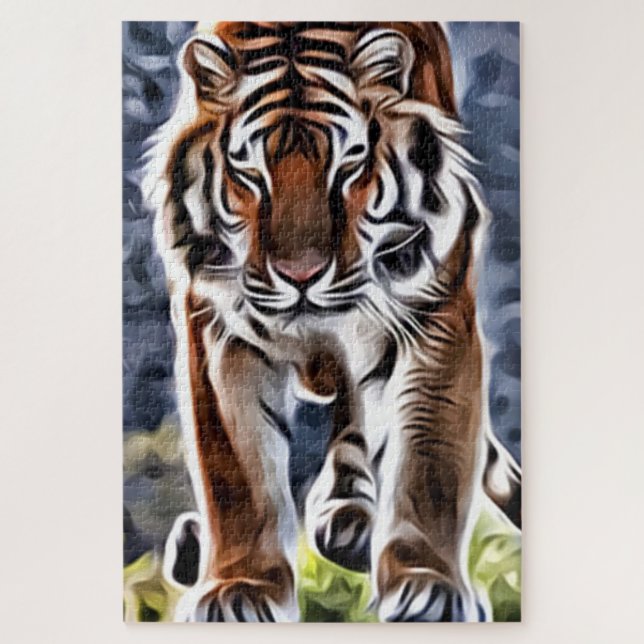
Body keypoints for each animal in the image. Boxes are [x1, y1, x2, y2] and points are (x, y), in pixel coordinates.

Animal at [144, 21, 521, 622]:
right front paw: (240, 587)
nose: (301, 275)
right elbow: (236, 472)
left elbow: (430, 461)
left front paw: (429, 584)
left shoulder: (434, 309)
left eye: (348, 167)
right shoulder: (218, 326)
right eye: (250, 173)